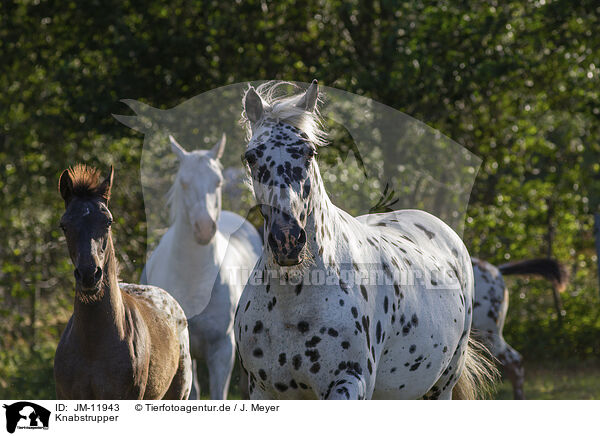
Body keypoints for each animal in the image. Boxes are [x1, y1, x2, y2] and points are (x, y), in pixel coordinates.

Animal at [234, 80, 496, 400]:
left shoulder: (349, 382)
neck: (291, 302)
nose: (288, 239)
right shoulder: (264, 390)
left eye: (309, 152)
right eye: (252, 156)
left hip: (442, 386)